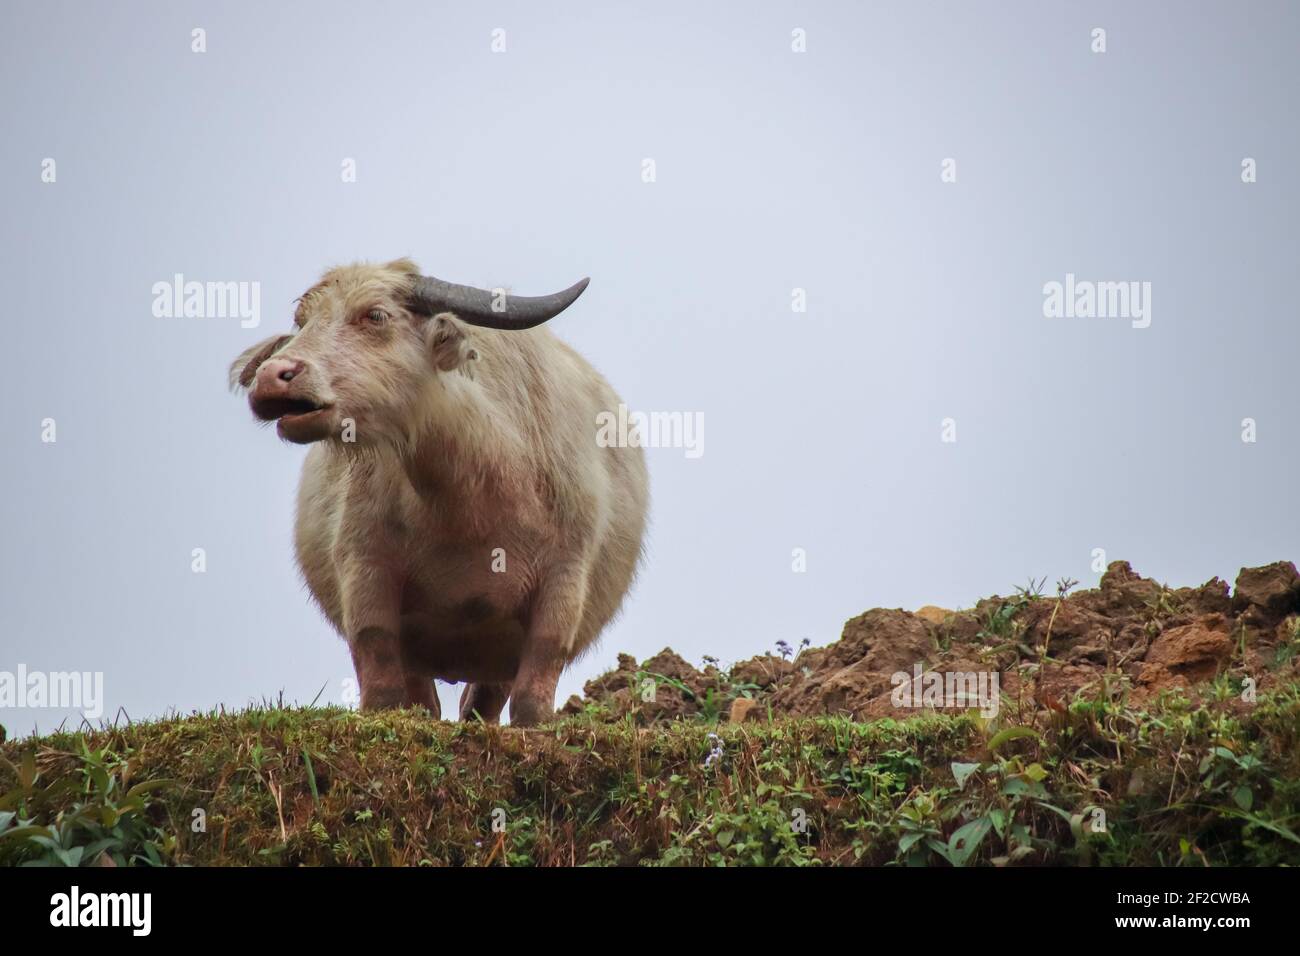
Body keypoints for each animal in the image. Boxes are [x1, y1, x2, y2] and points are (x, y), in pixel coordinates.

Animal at [231, 261, 647, 723]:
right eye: (302, 322)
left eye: (376, 315)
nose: (272, 377)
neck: (472, 500)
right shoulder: (364, 570)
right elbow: (382, 681)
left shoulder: (566, 577)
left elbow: (533, 692)